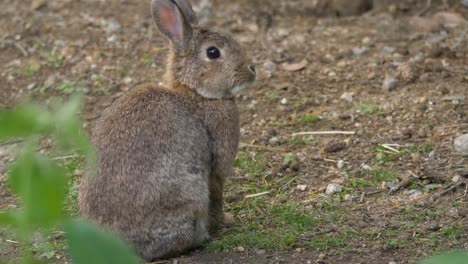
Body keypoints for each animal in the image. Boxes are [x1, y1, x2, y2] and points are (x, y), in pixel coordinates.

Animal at [79, 0, 258, 260]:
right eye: (213, 52)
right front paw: (227, 220)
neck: (196, 92)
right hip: (188, 195)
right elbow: (217, 196)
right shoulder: (216, 166)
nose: (252, 69)